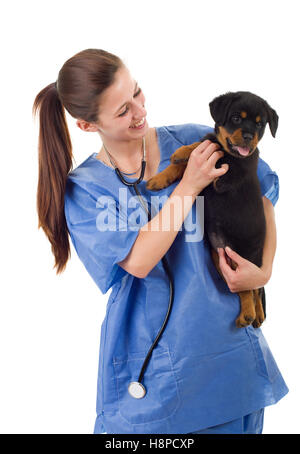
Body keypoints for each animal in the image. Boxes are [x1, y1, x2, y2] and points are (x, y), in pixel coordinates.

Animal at [146, 91, 278, 326]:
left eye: (259, 124)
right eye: (236, 118)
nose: (248, 136)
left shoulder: (235, 169)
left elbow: (225, 158)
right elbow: (202, 147)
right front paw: (166, 169)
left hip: (248, 260)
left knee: (252, 288)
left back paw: (251, 314)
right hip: (220, 258)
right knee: (245, 290)